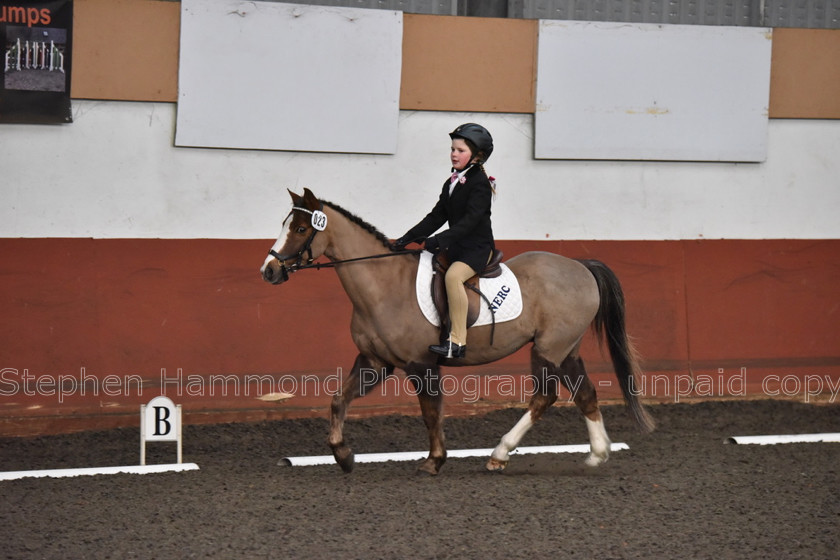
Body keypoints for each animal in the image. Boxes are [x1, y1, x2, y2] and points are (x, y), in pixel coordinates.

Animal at [260, 187, 652, 472]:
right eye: (284, 224)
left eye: (300, 229)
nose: (269, 271)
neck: (383, 286)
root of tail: (580, 266)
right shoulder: (375, 362)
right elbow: (338, 400)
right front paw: (343, 455)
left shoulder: (421, 365)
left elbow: (430, 412)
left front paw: (434, 461)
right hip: (565, 349)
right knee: (584, 393)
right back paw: (597, 453)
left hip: (547, 349)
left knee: (545, 396)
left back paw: (500, 454)